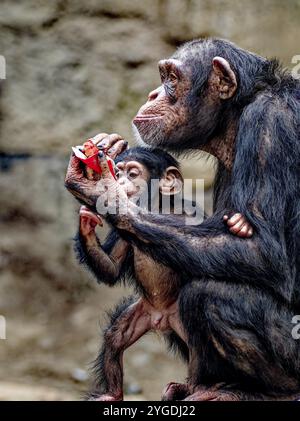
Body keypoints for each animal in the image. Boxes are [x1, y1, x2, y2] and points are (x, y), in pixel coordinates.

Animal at [74, 148, 251, 400]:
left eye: (133, 173)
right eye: (118, 172)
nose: (120, 181)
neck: (158, 208)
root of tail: (161, 319)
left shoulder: (192, 216)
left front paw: (239, 224)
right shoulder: (123, 231)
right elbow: (112, 267)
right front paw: (86, 223)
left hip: (180, 319)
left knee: (196, 345)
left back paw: (193, 388)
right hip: (142, 312)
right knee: (115, 336)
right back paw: (112, 393)